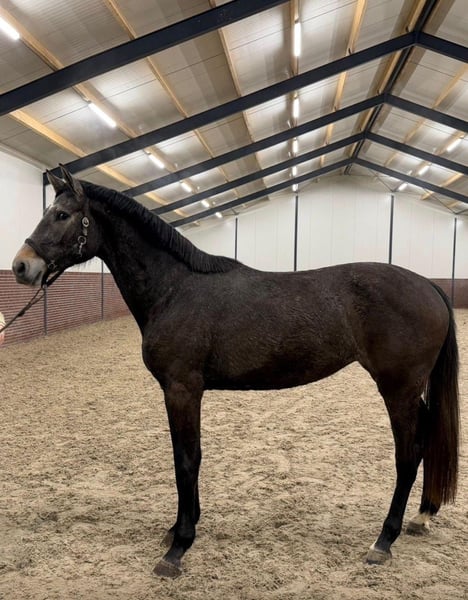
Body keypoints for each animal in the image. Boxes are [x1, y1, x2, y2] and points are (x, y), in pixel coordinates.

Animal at [12, 165, 459, 578]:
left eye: (62, 215)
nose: (21, 266)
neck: (175, 289)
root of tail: (429, 285)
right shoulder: (179, 392)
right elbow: (184, 457)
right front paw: (178, 528)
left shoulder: (182, 389)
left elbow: (187, 460)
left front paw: (178, 548)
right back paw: (422, 516)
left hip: (398, 389)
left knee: (408, 454)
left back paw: (383, 541)